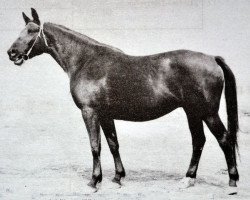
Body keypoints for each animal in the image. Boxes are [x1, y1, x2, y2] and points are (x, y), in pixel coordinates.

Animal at [6, 8, 239, 192]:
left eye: (31, 31)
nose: (11, 53)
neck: (85, 60)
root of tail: (212, 59)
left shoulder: (90, 112)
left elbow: (95, 146)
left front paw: (94, 181)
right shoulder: (105, 115)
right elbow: (113, 144)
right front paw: (118, 177)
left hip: (207, 112)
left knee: (224, 139)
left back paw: (232, 182)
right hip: (192, 112)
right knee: (199, 141)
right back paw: (188, 179)